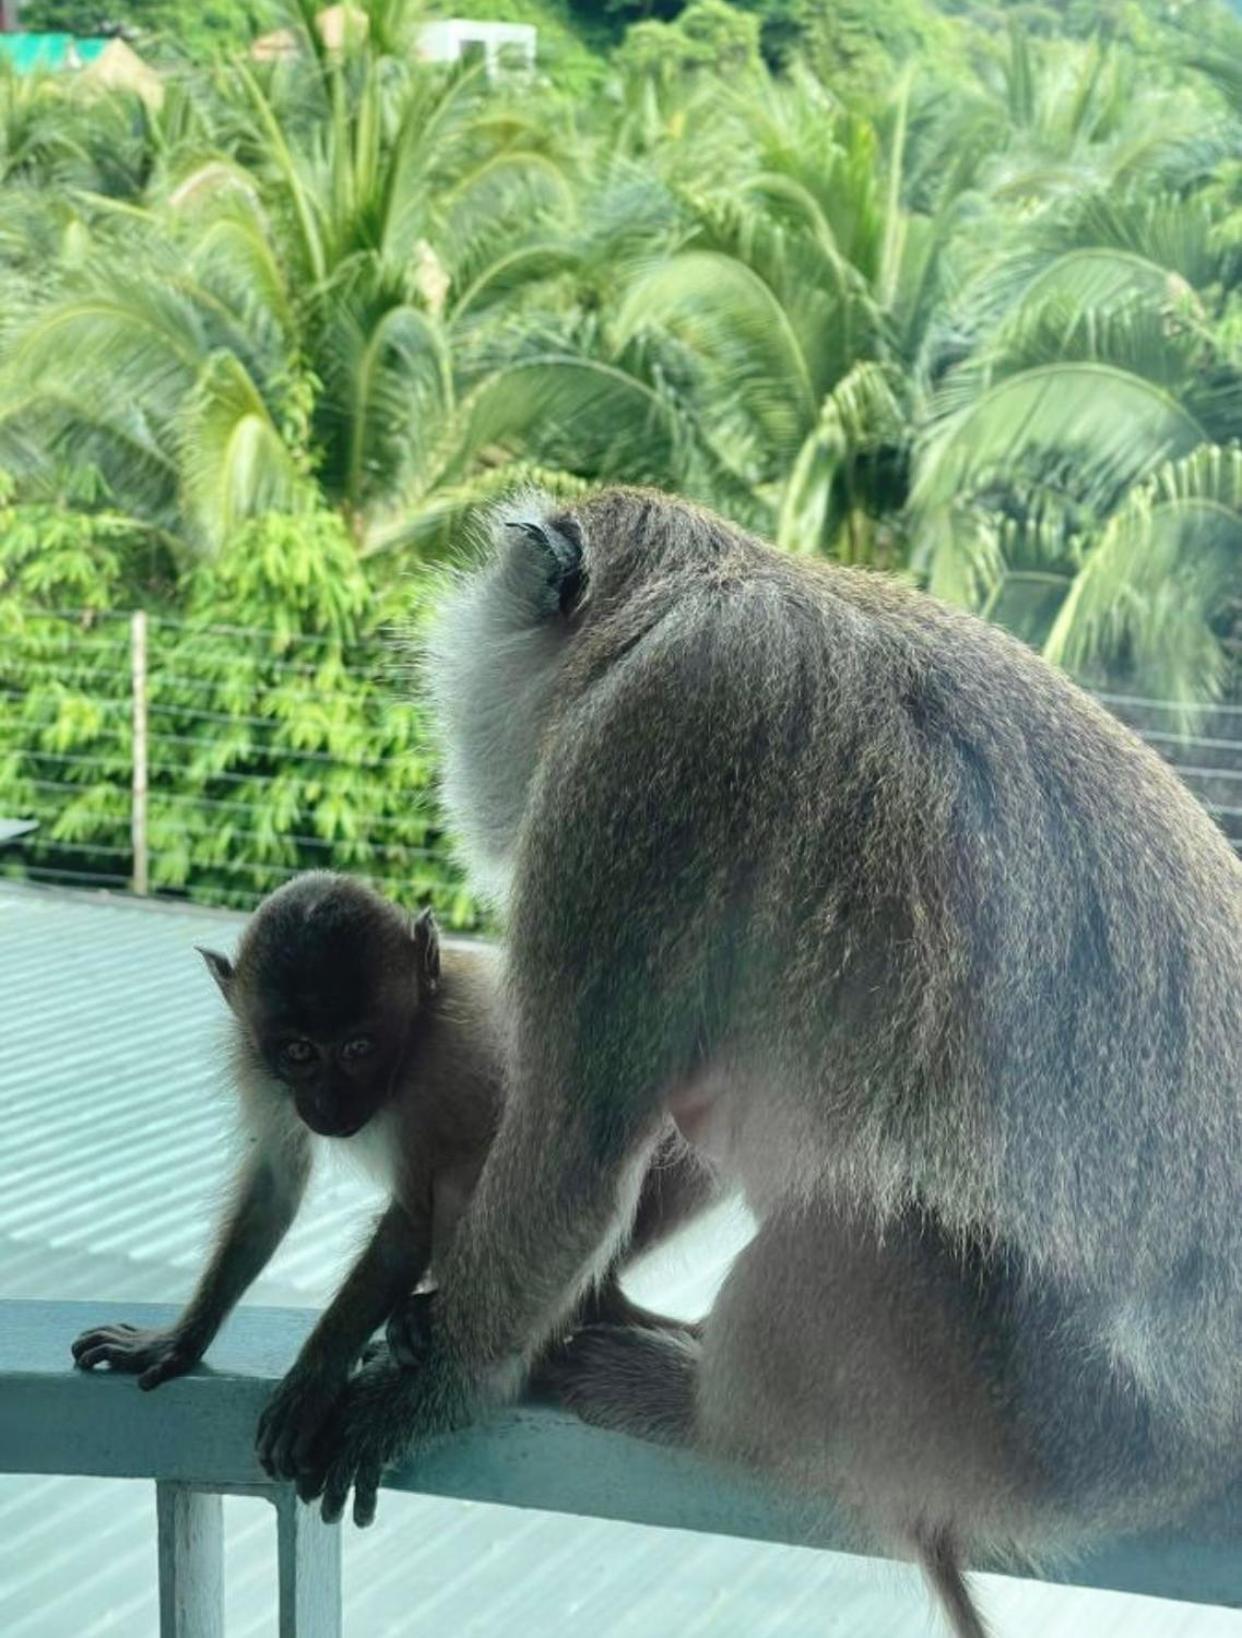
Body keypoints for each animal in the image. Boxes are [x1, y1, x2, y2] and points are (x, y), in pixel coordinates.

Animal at [70, 871, 720, 1487]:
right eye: (299, 1052)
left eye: (359, 1047)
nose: (329, 1106)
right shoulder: (255, 1062)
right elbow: (274, 1184)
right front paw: (181, 1339)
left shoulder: (439, 1074)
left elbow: (413, 1219)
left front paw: (315, 1376)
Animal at [290, 488, 1238, 1638]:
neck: (711, 587)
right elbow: (688, 1115)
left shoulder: (651, 752)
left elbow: (580, 1142)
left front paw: (433, 1388)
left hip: (1044, 1421)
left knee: (832, 1233)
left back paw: (695, 1410)